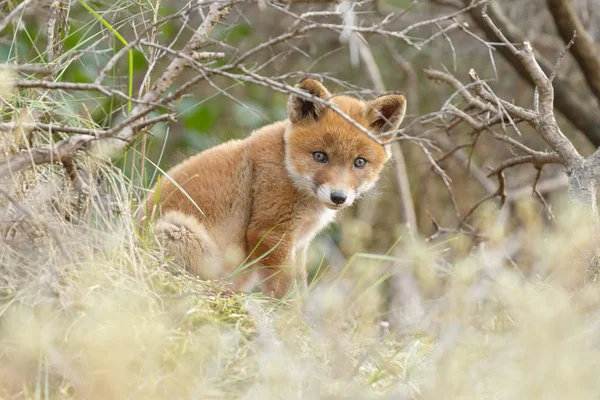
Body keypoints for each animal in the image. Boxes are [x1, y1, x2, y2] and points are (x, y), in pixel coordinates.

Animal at [141, 77, 406, 296]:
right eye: (320, 156)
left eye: (359, 162)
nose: (338, 197)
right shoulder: (269, 233)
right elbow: (284, 289)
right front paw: (289, 321)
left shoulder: (299, 244)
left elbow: (300, 285)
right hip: (176, 229)